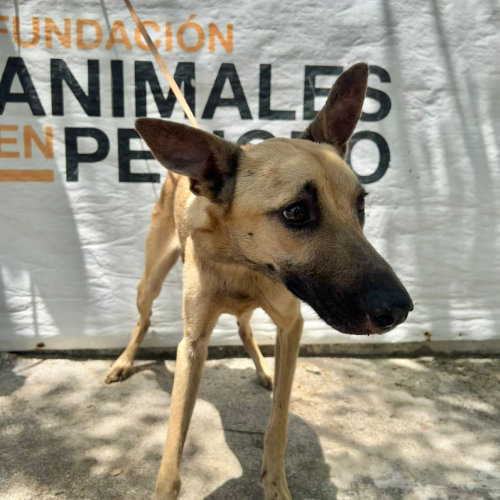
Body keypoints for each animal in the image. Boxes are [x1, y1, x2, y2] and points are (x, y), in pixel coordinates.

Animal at [105, 62, 413, 500]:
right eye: (296, 212)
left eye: (361, 206)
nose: (400, 310)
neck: (245, 264)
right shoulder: (193, 344)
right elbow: (174, 438)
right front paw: (165, 487)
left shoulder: (292, 325)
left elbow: (278, 421)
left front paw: (275, 483)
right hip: (149, 281)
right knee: (144, 319)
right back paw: (123, 362)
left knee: (244, 326)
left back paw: (264, 369)